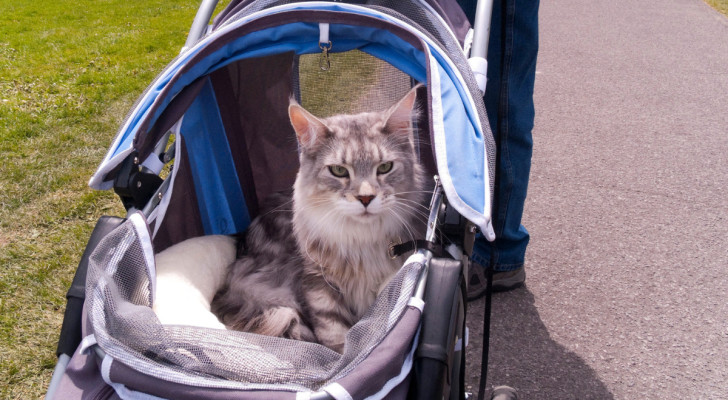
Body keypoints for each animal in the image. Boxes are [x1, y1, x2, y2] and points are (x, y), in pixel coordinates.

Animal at [210, 86, 426, 352]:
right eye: (339, 171)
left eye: (385, 167)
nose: (365, 198)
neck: (362, 240)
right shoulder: (317, 281)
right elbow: (333, 330)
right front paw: (341, 356)